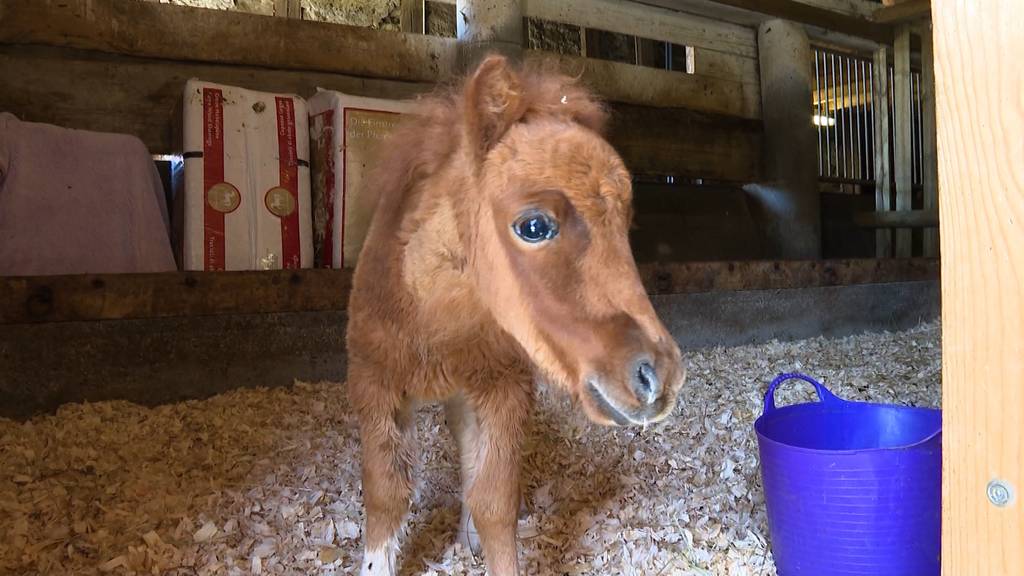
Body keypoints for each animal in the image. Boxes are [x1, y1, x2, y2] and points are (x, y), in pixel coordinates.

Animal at [346, 54, 688, 573]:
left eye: (625, 225)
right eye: (533, 226)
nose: (657, 378)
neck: (435, 326)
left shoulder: (503, 386)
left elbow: (495, 501)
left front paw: (481, 535)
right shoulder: (374, 382)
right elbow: (385, 495)